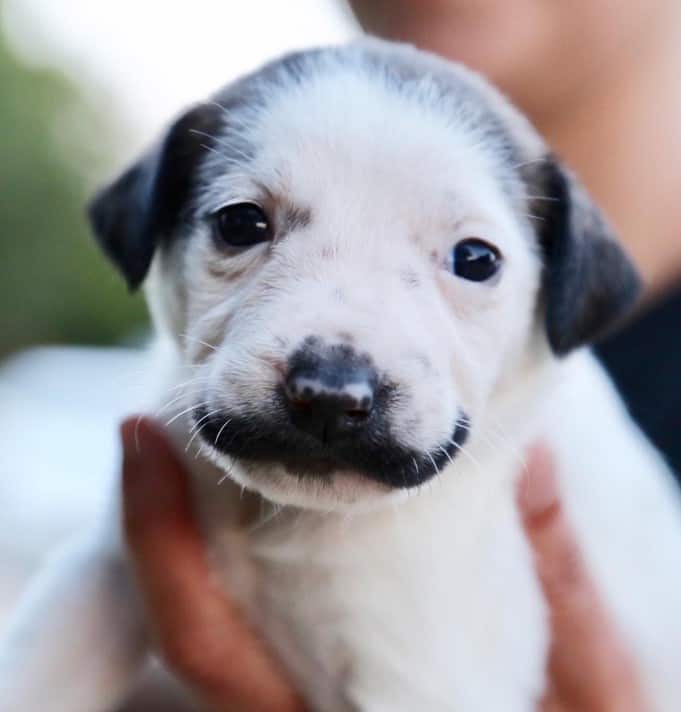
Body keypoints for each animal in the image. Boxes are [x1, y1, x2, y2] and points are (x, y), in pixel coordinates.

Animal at [1, 39, 680, 712]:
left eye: (476, 259)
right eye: (240, 223)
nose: (329, 396)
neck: (295, 520)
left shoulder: (422, 676)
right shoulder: (105, 572)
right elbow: (40, 658)